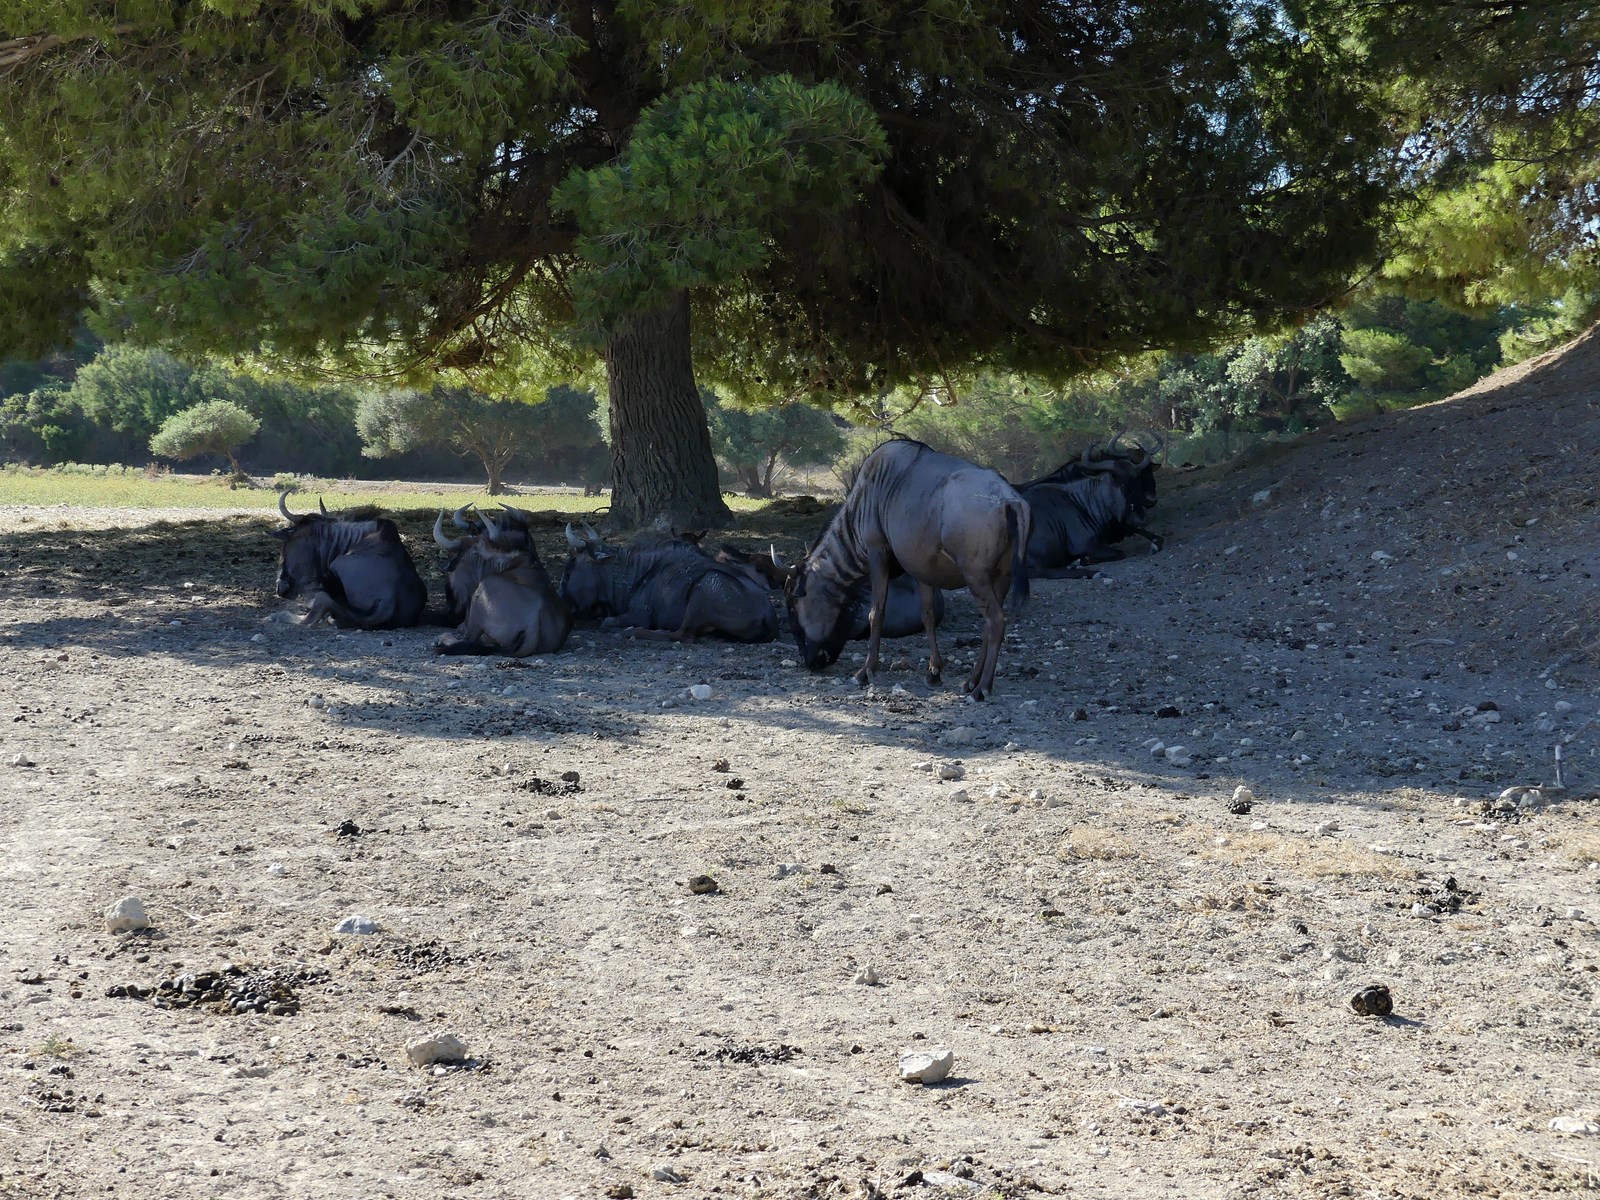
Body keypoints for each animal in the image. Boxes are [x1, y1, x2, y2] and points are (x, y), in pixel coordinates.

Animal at [784, 438, 1028, 700]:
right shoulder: (922, 572)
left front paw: (864, 672)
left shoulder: (877, 553)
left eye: (792, 606)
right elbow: (927, 615)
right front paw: (934, 672)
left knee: (996, 620)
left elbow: (876, 612)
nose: (810, 661)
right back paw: (971, 681)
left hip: (976, 577)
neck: (867, 495)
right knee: (988, 624)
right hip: (1000, 578)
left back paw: (981, 688)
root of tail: (1009, 500)